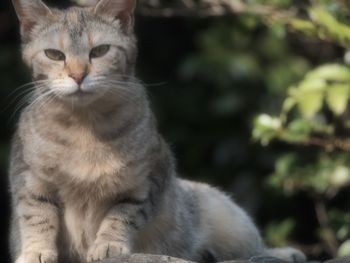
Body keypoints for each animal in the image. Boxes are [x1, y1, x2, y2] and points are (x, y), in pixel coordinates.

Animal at [8, 0, 306, 263]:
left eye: (100, 50)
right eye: (54, 55)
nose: (78, 76)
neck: (84, 126)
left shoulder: (145, 181)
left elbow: (120, 216)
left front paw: (109, 245)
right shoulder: (30, 181)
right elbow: (37, 218)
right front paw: (35, 252)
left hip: (232, 220)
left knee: (255, 249)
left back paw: (283, 253)